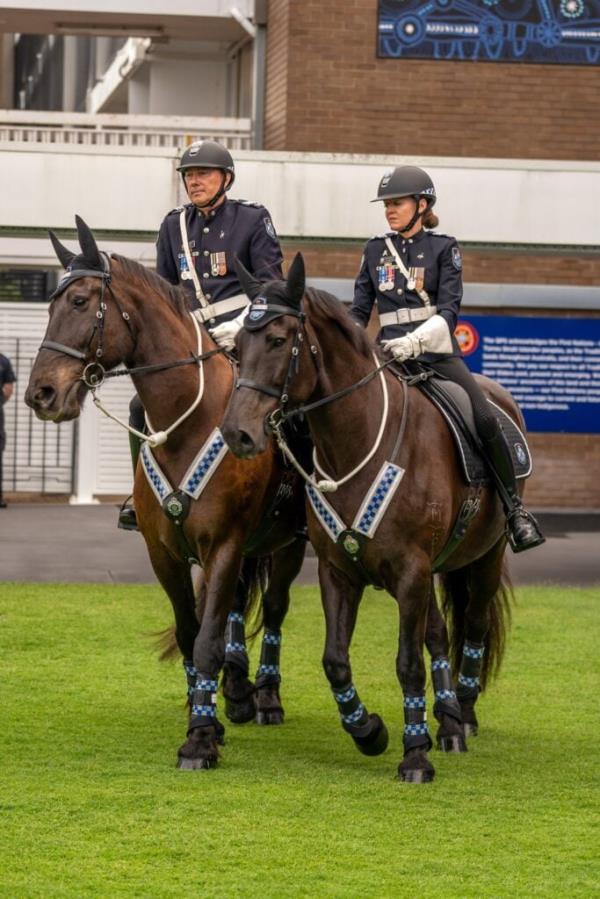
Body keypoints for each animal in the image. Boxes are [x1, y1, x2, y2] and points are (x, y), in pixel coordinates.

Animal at [24, 220, 308, 772]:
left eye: (80, 302)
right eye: (50, 305)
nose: (40, 395)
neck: (188, 423)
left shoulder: (224, 545)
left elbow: (206, 641)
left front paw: (199, 740)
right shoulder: (165, 553)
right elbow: (190, 634)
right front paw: (209, 720)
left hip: (289, 544)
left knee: (275, 607)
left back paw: (265, 697)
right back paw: (236, 693)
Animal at [221, 253, 516, 780]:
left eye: (277, 339)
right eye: (240, 343)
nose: (238, 432)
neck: (356, 445)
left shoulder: (412, 571)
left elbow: (407, 662)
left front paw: (415, 754)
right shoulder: (340, 570)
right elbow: (335, 660)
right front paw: (369, 731)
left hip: (486, 556)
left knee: (475, 628)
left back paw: (464, 716)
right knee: (440, 634)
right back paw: (448, 722)